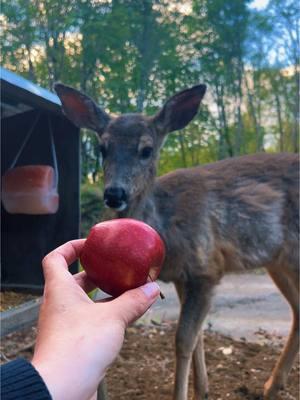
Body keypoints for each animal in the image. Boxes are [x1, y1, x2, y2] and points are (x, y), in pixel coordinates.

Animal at [55, 82, 298, 400]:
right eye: (102, 148)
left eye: (146, 150)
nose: (114, 193)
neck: (166, 225)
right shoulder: (185, 276)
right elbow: (198, 337)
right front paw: (202, 389)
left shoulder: (206, 268)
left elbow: (183, 340)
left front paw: (185, 392)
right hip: (278, 262)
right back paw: (273, 385)